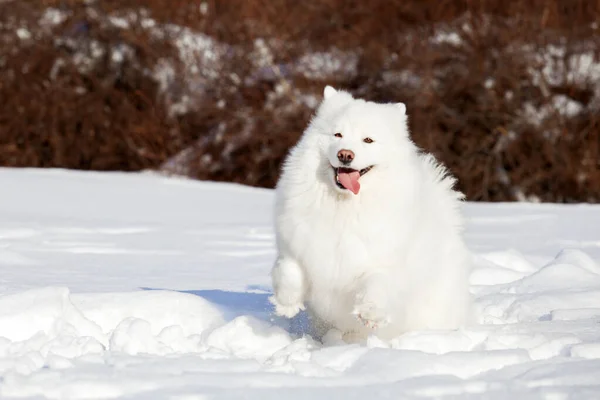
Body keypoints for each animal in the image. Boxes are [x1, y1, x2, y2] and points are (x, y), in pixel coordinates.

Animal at [270, 86, 472, 340]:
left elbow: (376, 282)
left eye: (368, 140)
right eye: (337, 135)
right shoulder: (297, 244)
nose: (345, 154)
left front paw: (370, 313)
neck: (345, 206)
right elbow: (289, 270)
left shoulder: (380, 258)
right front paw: (286, 304)